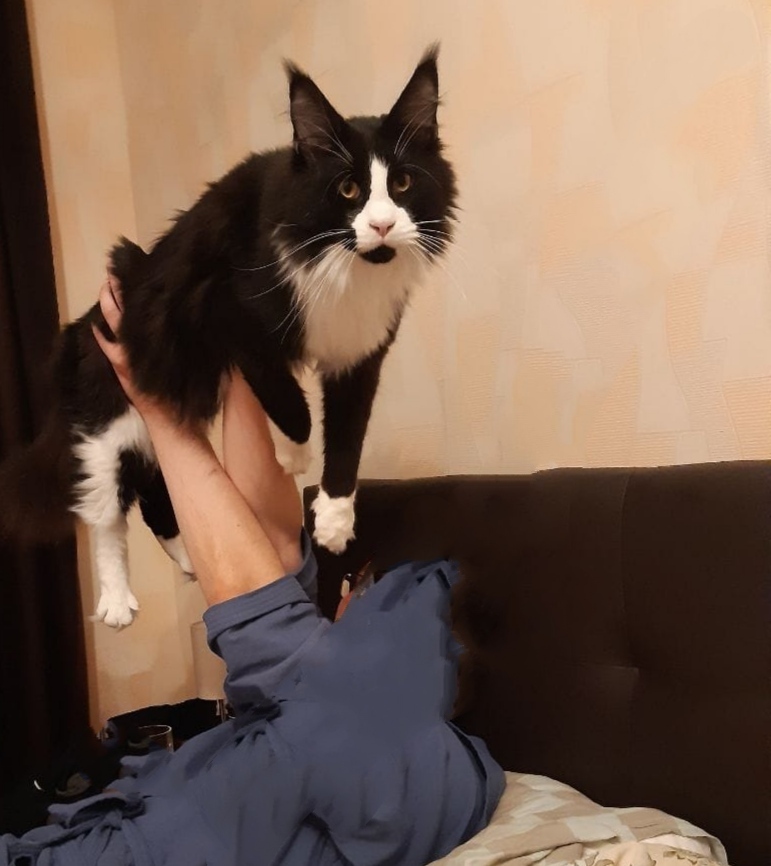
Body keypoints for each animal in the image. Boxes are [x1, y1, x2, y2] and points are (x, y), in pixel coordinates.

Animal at [0, 46, 457, 628]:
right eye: (348, 189)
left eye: (402, 184)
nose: (380, 226)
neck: (349, 271)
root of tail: (75, 333)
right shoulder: (228, 314)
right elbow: (289, 398)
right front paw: (293, 455)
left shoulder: (361, 354)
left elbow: (347, 437)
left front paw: (333, 519)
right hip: (107, 424)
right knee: (105, 515)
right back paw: (117, 601)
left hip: (148, 427)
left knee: (155, 499)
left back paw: (188, 559)